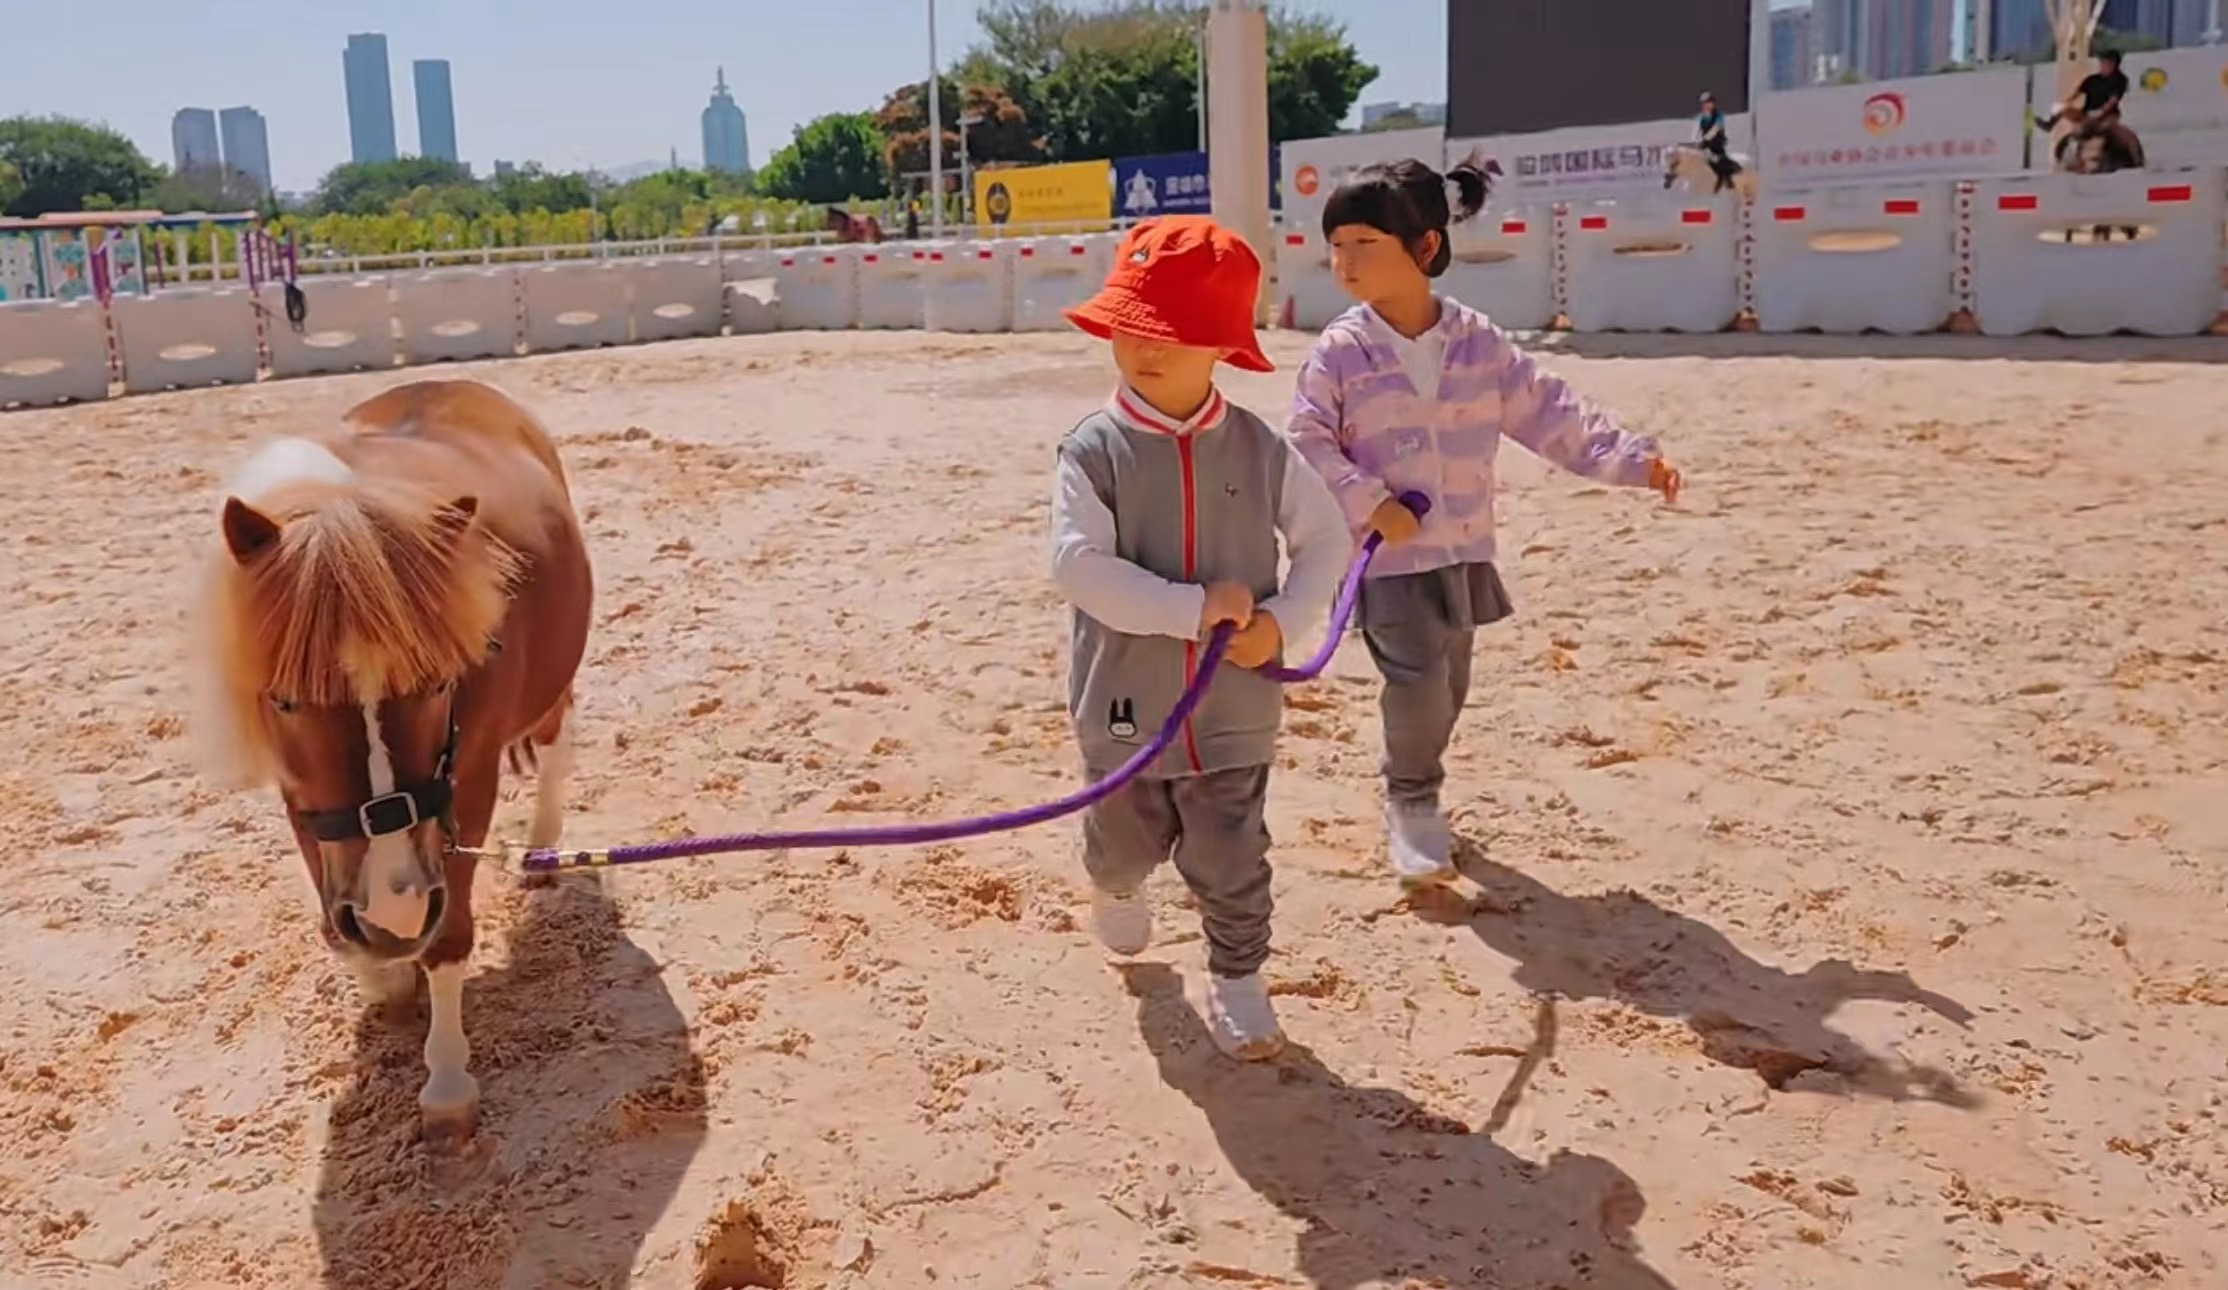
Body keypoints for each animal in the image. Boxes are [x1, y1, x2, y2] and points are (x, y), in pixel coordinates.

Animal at [189, 376, 592, 1149]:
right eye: (284, 699)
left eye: (438, 684)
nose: (395, 911)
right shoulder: (301, 796)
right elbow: (336, 910)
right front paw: (384, 976)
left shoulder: (468, 783)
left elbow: (449, 934)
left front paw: (447, 1081)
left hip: (550, 693)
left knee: (557, 742)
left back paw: (543, 851)